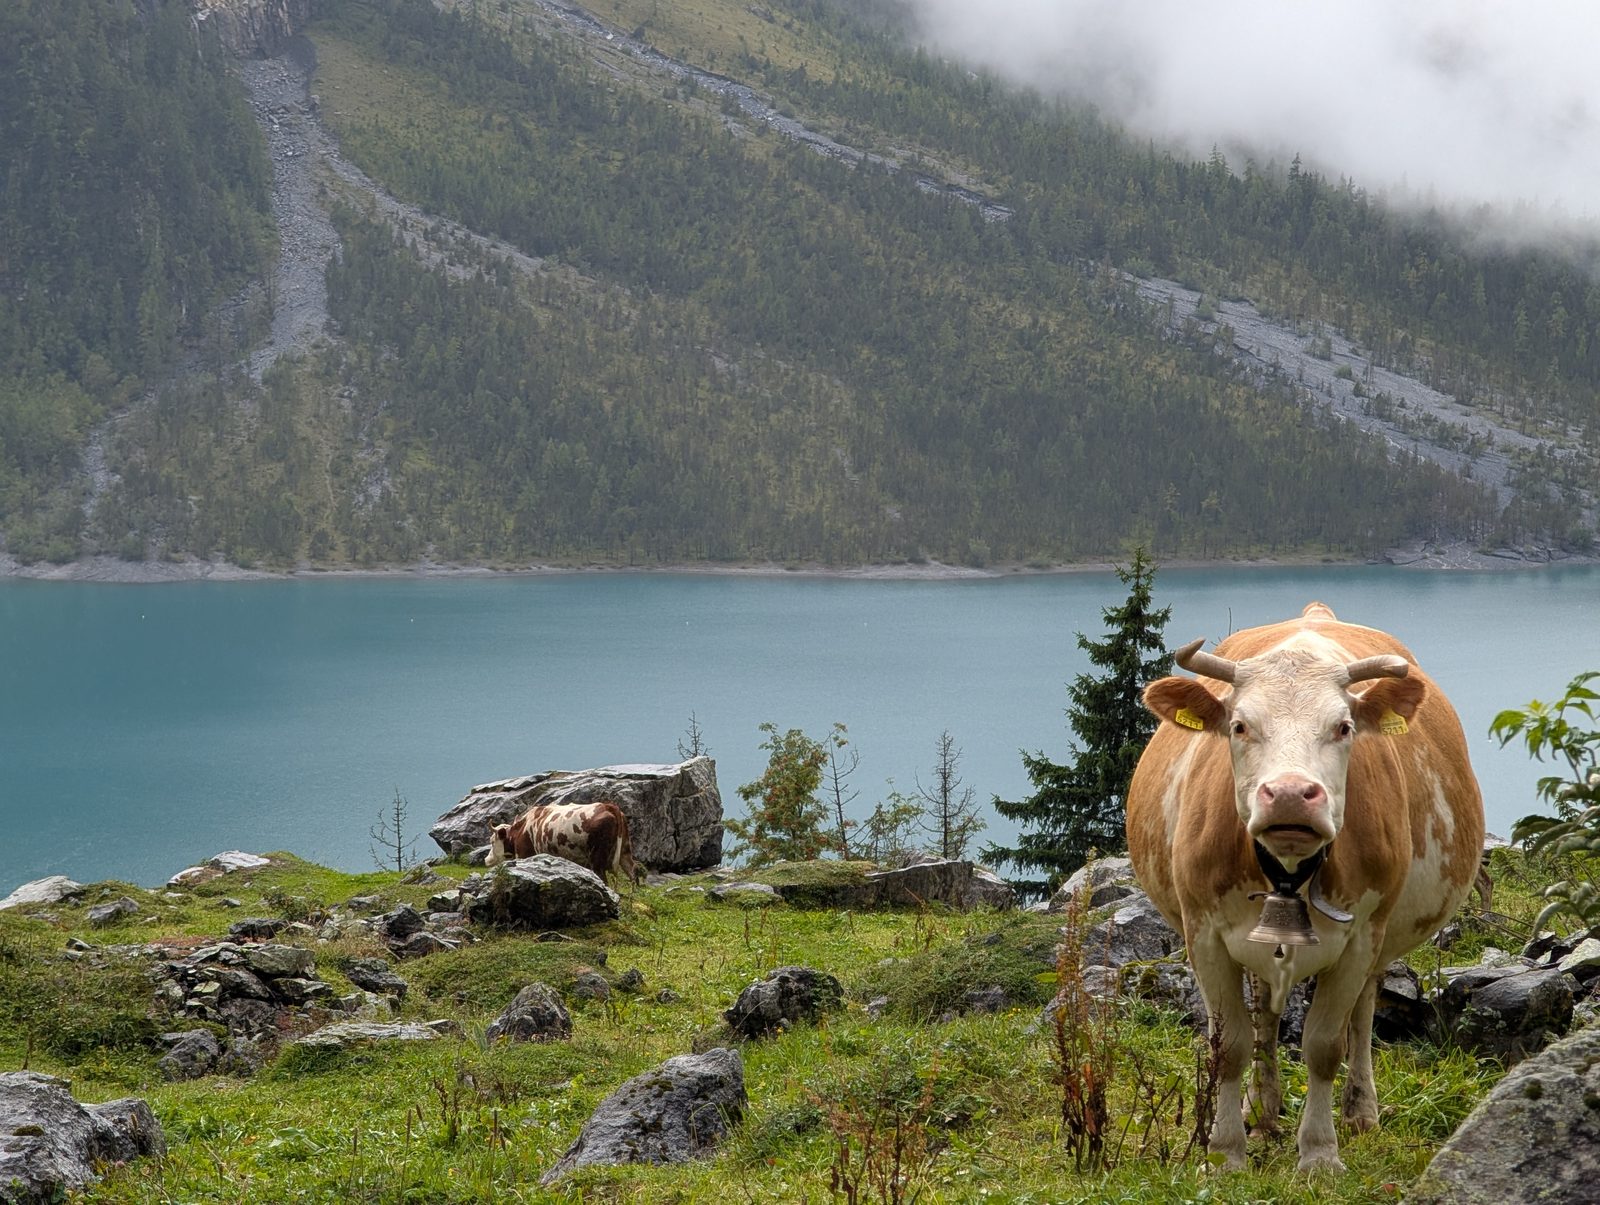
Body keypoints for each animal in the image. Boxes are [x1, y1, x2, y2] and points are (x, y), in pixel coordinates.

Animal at [486, 801, 643, 887]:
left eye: (492, 841)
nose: (486, 860)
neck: (522, 827)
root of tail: (608, 806)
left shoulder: (524, 854)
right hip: (625, 850)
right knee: (632, 872)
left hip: (597, 858)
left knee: (604, 877)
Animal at [1126, 602, 1484, 1172]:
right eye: (1240, 725)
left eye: (1343, 727)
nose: (1292, 794)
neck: (1289, 868)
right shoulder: (1203, 934)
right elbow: (1230, 1046)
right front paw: (1225, 1153)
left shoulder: (1360, 936)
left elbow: (1324, 1046)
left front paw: (1319, 1154)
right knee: (1265, 1018)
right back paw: (1262, 1111)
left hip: (1381, 940)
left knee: (1362, 1015)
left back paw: (1359, 1112)